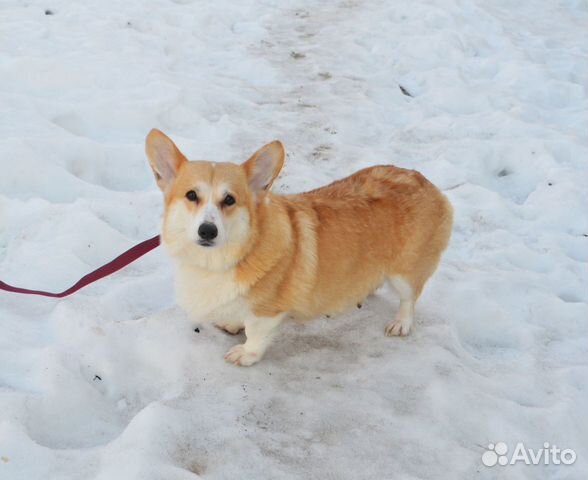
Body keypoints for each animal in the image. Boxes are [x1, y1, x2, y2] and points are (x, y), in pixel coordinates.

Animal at [145, 129, 452, 366]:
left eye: (229, 200)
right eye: (191, 195)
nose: (207, 230)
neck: (221, 258)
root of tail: (428, 184)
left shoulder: (267, 313)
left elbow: (255, 333)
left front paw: (245, 354)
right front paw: (233, 323)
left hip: (405, 274)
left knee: (408, 299)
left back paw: (401, 323)